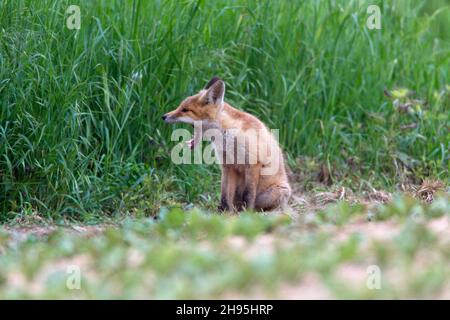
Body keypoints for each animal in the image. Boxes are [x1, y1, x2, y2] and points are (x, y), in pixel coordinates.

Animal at [162, 76, 292, 212]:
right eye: (180, 106)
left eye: (185, 110)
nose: (163, 116)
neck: (227, 138)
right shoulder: (227, 166)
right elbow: (224, 194)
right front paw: (222, 212)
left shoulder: (253, 163)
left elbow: (248, 194)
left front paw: (247, 213)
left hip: (278, 192)